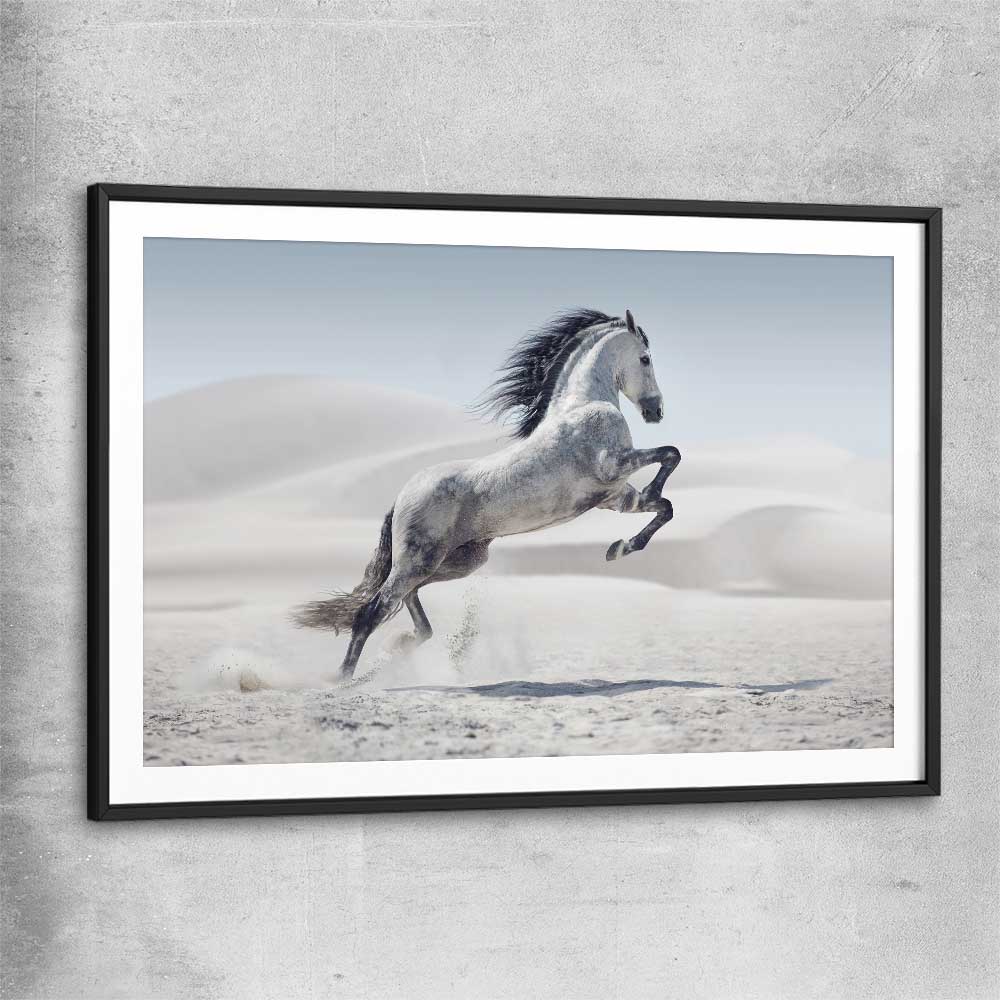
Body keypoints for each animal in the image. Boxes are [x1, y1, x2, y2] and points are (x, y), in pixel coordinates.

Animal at [294, 308, 681, 680]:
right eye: (645, 358)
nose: (656, 411)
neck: (582, 405)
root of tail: (402, 496)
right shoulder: (613, 466)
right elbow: (671, 454)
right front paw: (637, 516)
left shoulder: (614, 496)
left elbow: (665, 507)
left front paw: (619, 548)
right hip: (420, 560)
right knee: (372, 610)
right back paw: (343, 680)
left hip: (458, 561)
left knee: (407, 601)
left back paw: (399, 648)